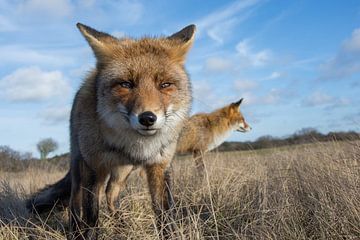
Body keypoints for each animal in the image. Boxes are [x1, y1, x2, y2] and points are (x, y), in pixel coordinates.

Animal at [26, 23, 195, 240]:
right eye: (126, 84)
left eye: (165, 85)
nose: (148, 118)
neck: (132, 146)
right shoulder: (94, 167)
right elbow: (91, 215)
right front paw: (88, 234)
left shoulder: (159, 166)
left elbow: (166, 216)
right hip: (80, 165)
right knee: (75, 201)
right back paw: (76, 230)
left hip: (123, 171)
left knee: (110, 194)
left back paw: (122, 226)